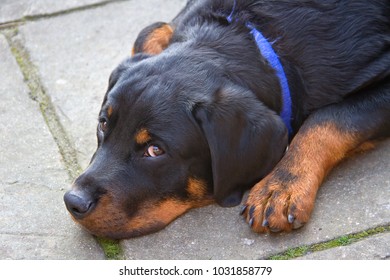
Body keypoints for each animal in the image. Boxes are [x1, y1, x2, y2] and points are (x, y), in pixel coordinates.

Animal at [64, 0, 390, 238]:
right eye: (103, 124)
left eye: (155, 150)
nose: (73, 202)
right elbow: (152, 29)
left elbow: (328, 118)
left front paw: (281, 186)